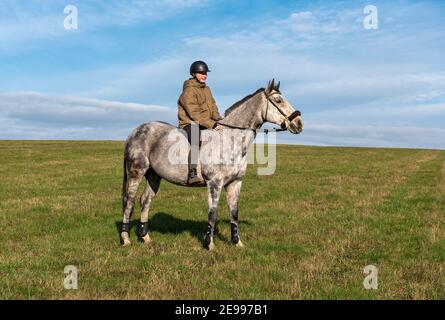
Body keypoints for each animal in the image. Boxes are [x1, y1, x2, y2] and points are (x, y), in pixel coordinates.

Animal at [120, 80, 302, 250]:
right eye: (278, 100)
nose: (299, 123)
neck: (230, 140)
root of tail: (134, 132)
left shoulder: (235, 183)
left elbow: (234, 213)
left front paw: (237, 242)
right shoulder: (215, 183)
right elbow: (212, 213)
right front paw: (210, 244)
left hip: (154, 176)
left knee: (145, 201)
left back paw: (145, 237)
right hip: (136, 173)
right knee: (129, 202)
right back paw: (126, 239)